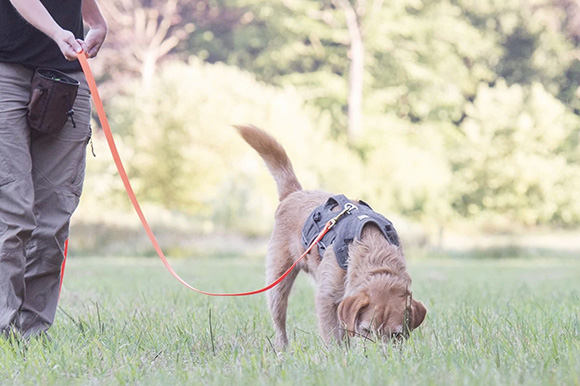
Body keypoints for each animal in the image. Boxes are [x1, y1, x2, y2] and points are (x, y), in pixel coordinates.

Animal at [236, 125, 426, 346]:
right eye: (366, 330)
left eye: (396, 335)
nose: (379, 353)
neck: (371, 246)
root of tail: (294, 194)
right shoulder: (327, 298)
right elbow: (333, 336)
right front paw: (338, 353)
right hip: (278, 281)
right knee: (279, 321)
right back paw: (283, 347)